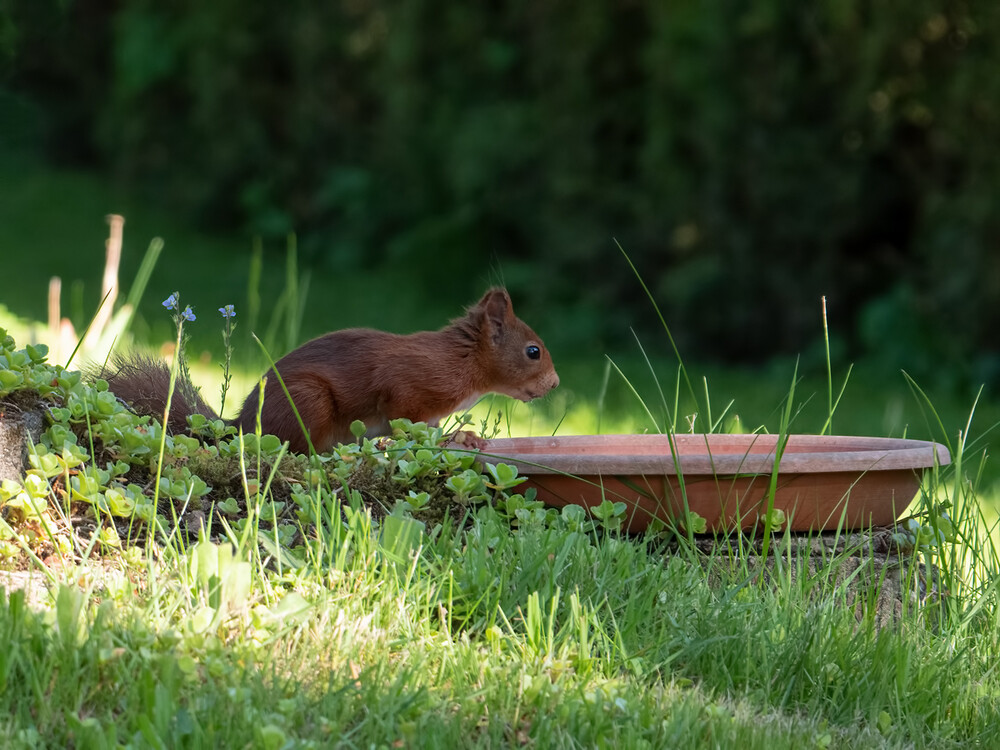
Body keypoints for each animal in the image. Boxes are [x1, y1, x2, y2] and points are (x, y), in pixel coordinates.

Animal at [100, 286, 560, 452]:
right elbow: (405, 419)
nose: (555, 384)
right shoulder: (410, 385)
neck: (463, 362)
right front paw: (457, 436)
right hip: (309, 402)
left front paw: (462, 435)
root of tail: (241, 426)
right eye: (533, 351)